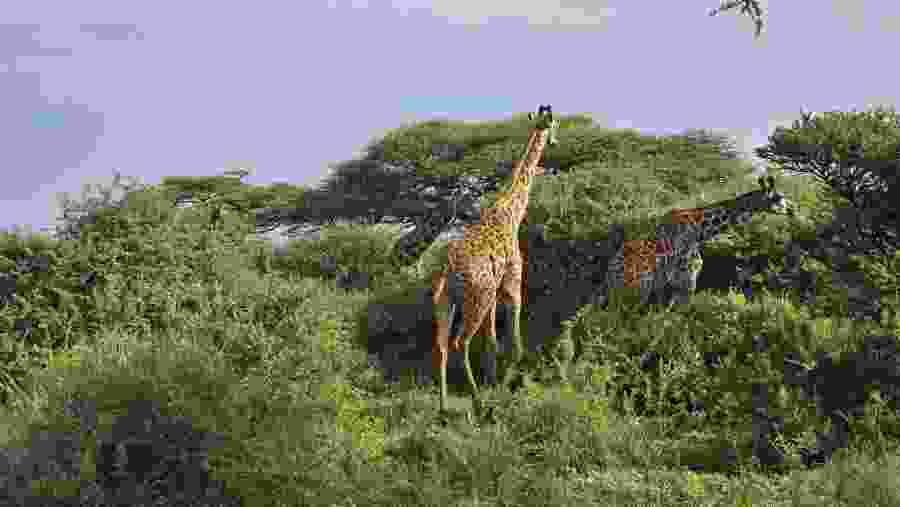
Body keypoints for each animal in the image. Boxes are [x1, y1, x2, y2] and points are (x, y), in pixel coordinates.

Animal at [431, 105, 559, 419]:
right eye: (556, 124)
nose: (555, 141)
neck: (511, 212)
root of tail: (450, 275)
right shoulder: (512, 282)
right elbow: (514, 339)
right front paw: (513, 377)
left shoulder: (495, 293)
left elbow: (492, 343)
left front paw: (494, 380)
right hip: (476, 299)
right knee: (460, 342)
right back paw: (477, 401)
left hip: (447, 303)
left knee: (441, 346)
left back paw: (444, 406)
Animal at [605, 175, 794, 309]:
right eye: (779, 197)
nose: (792, 210)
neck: (699, 231)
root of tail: (611, 276)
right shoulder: (686, 279)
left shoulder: (675, 285)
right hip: (637, 290)